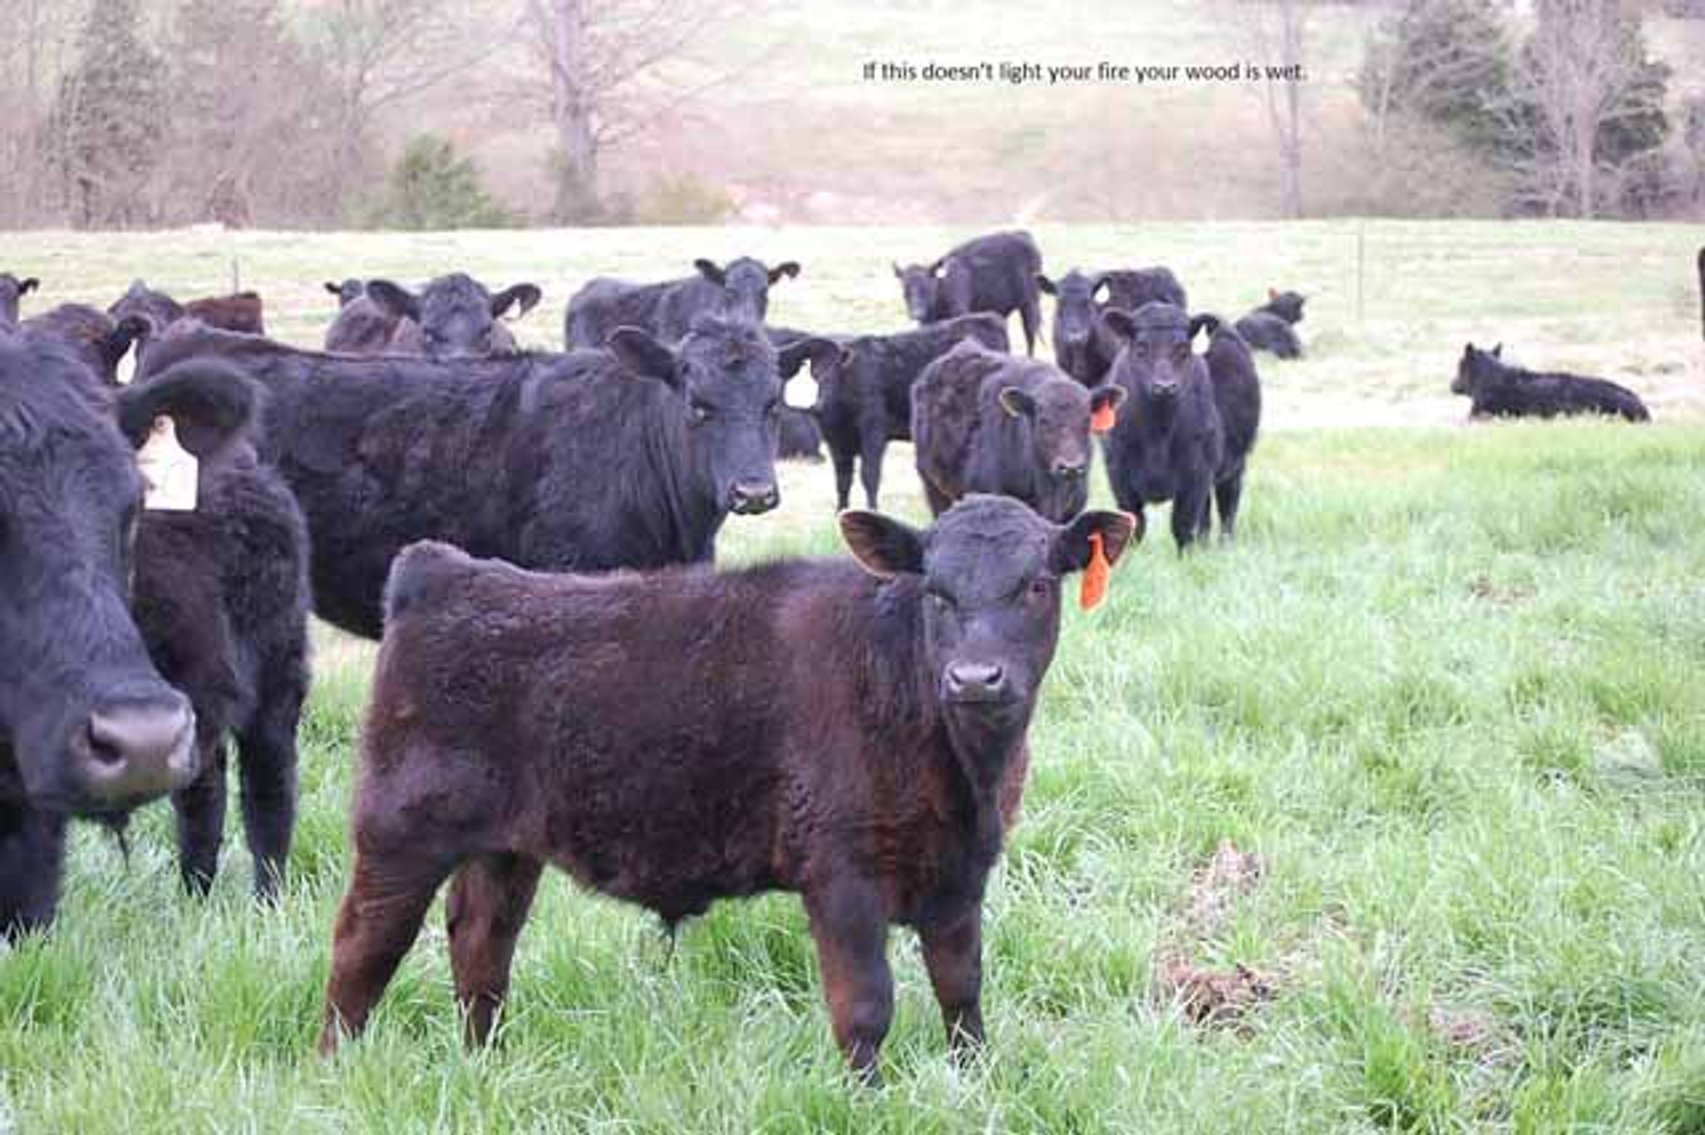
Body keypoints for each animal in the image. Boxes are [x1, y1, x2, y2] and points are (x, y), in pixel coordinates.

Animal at [0, 339, 310, 936]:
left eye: (135, 505)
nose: (143, 734)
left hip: (278, 681)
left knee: (269, 797)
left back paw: (268, 907)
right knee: (203, 797)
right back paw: (195, 901)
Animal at [318, 495, 1139, 1084]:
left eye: (1037, 584)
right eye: (934, 591)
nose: (974, 678)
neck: (963, 768)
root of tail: (445, 570)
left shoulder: (960, 872)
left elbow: (962, 990)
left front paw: (974, 1083)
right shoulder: (841, 874)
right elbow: (865, 1005)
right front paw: (867, 1099)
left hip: (506, 846)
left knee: (481, 945)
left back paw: (485, 1064)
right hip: (399, 827)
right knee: (363, 946)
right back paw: (335, 1069)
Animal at [798, 315, 1010, 511]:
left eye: (836, 376)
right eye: (817, 376)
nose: (820, 406)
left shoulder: (874, 432)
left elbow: (869, 475)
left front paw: (872, 510)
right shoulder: (837, 443)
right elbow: (843, 480)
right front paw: (840, 512)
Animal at [894, 231, 1044, 356]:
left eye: (926, 287)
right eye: (905, 290)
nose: (917, 313)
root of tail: (1021, 234)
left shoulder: (960, 312)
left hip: (1030, 304)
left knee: (1030, 335)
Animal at [1100, 304, 1262, 551]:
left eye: (1184, 349)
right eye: (1141, 348)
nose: (1165, 387)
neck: (1157, 432)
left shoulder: (1195, 475)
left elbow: (1182, 525)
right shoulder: (1119, 476)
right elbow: (1134, 524)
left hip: (1235, 465)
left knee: (1227, 507)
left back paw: (1224, 545)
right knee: (1206, 515)